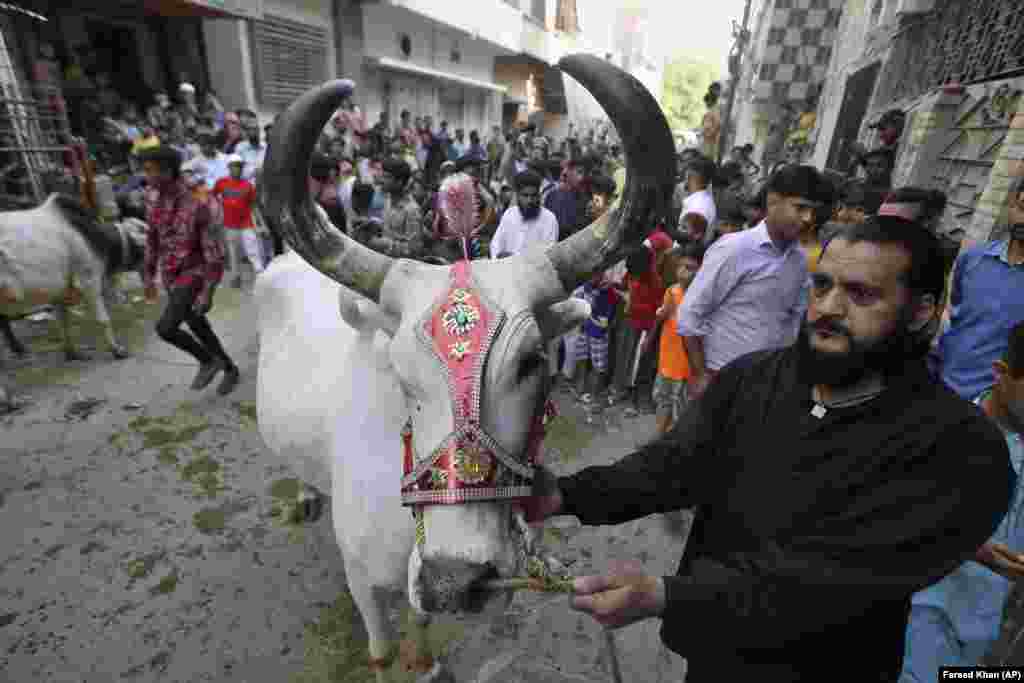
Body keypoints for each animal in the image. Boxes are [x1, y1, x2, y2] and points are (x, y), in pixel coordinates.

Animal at [0, 192, 148, 360]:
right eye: (144, 247)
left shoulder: (60, 292)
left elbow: (63, 322)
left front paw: (71, 352)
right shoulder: (88, 281)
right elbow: (103, 320)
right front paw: (117, 349)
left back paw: (18, 349)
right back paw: (19, 349)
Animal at [252, 54, 675, 683]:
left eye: (532, 361)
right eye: (400, 374)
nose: (457, 580)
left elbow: (420, 623)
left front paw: (426, 661)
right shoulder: (365, 582)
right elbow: (381, 648)